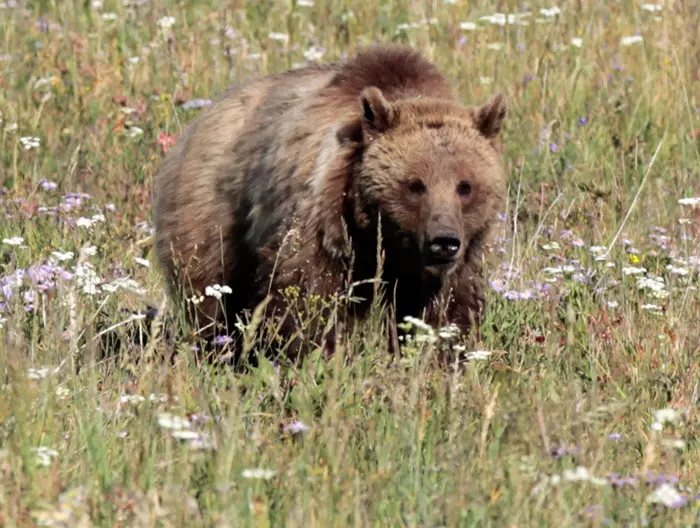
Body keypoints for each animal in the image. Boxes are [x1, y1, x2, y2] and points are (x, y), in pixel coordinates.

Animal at [154, 45, 508, 364]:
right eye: (415, 185)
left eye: (466, 187)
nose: (444, 241)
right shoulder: (320, 218)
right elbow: (308, 297)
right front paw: (319, 356)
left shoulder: (455, 261)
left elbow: (447, 309)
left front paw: (439, 358)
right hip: (213, 213)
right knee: (208, 294)